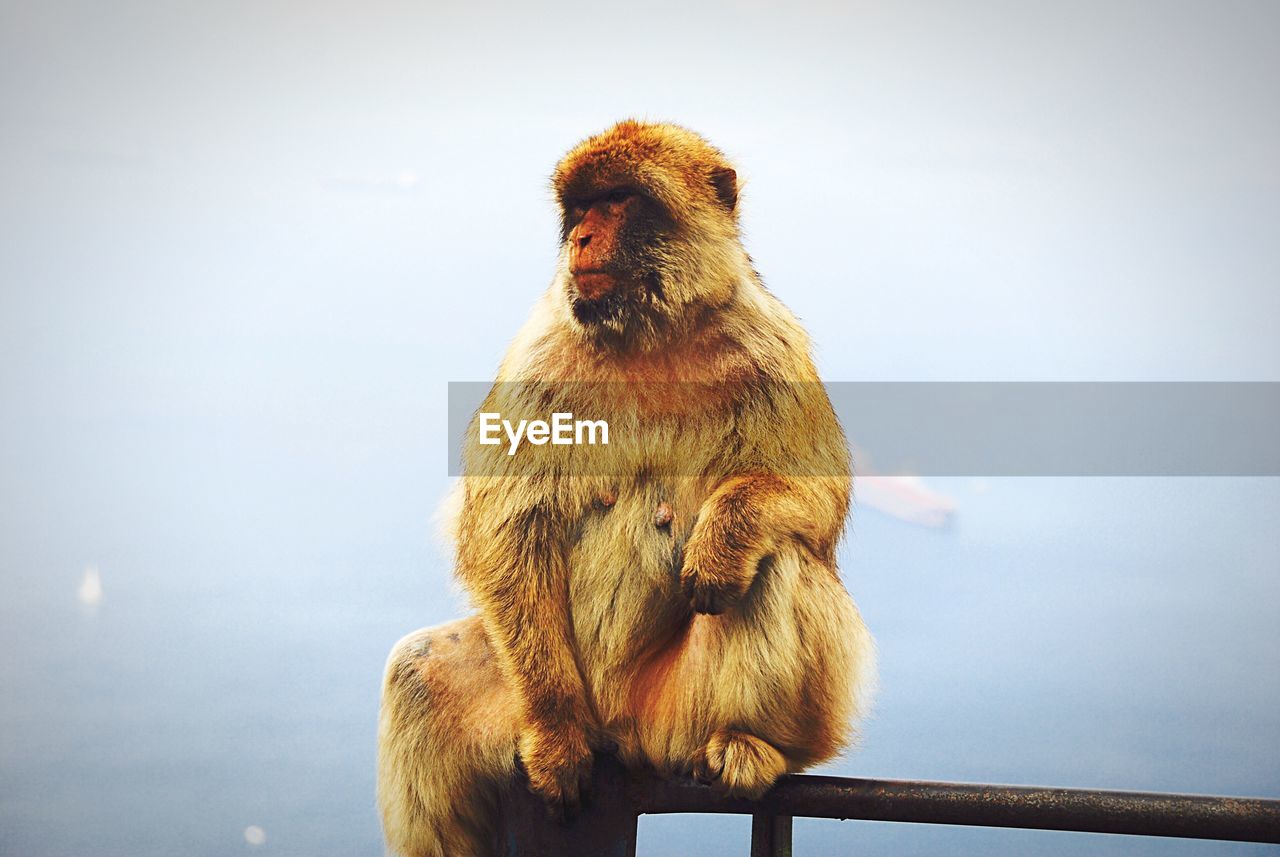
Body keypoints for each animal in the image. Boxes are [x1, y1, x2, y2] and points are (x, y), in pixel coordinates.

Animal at [378, 120, 875, 857]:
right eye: (581, 207)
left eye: (618, 200)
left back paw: (754, 742)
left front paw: (723, 541)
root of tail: (619, 727)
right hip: (524, 695)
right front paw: (557, 735)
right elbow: (507, 530)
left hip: (674, 716)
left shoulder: (772, 345)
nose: (582, 237)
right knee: (419, 671)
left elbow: (813, 498)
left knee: (775, 562)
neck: (651, 334)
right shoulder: (540, 353)